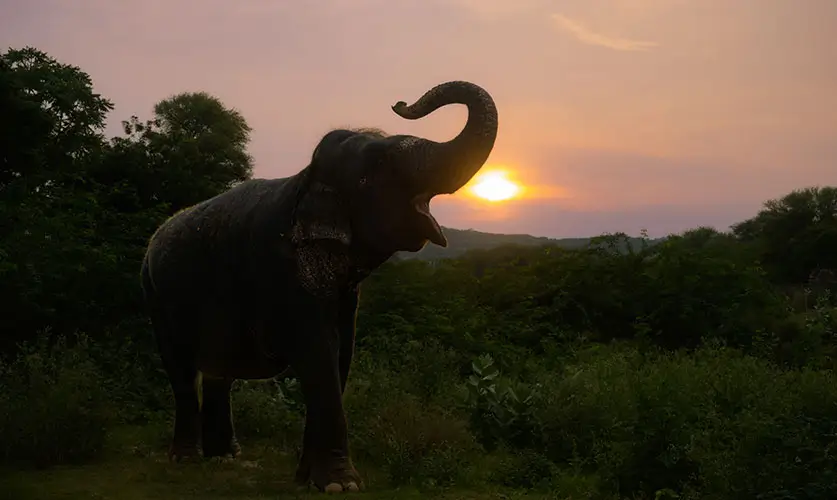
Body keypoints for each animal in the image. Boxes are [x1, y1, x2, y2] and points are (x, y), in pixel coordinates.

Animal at [139, 80, 498, 493]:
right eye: (378, 167)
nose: (400, 103)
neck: (305, 177)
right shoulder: (281, 271)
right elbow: (317, 351)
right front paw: (341, 486)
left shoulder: (345, 293)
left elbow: (339, 355)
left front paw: (309, 480)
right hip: (154, 293)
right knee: (180, 368)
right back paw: (185, 458)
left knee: (218, 370)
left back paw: (225, 456)